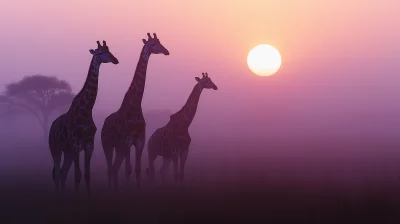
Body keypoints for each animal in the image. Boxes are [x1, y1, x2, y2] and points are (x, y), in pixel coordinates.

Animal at [48, 40, 119, 194]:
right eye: (100, 52)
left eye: (109, 50)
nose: (115, 60)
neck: (86, 110)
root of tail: (52, 126)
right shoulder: (75, 145)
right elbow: (77, 175)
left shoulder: (88, 145)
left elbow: (86, 175)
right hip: (55, 149)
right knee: (57, 174)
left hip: (67, 152)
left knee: (63, 173)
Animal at [101, 32, 170, 188]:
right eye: (152, 44)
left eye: (160, 42)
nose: (166, 51)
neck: (135, 105)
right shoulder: (127, 142)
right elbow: (128, 169)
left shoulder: (139, 141)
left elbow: (137, 170)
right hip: (107, 145)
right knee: (110, 169)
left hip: (118, 147)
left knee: (114, 168)